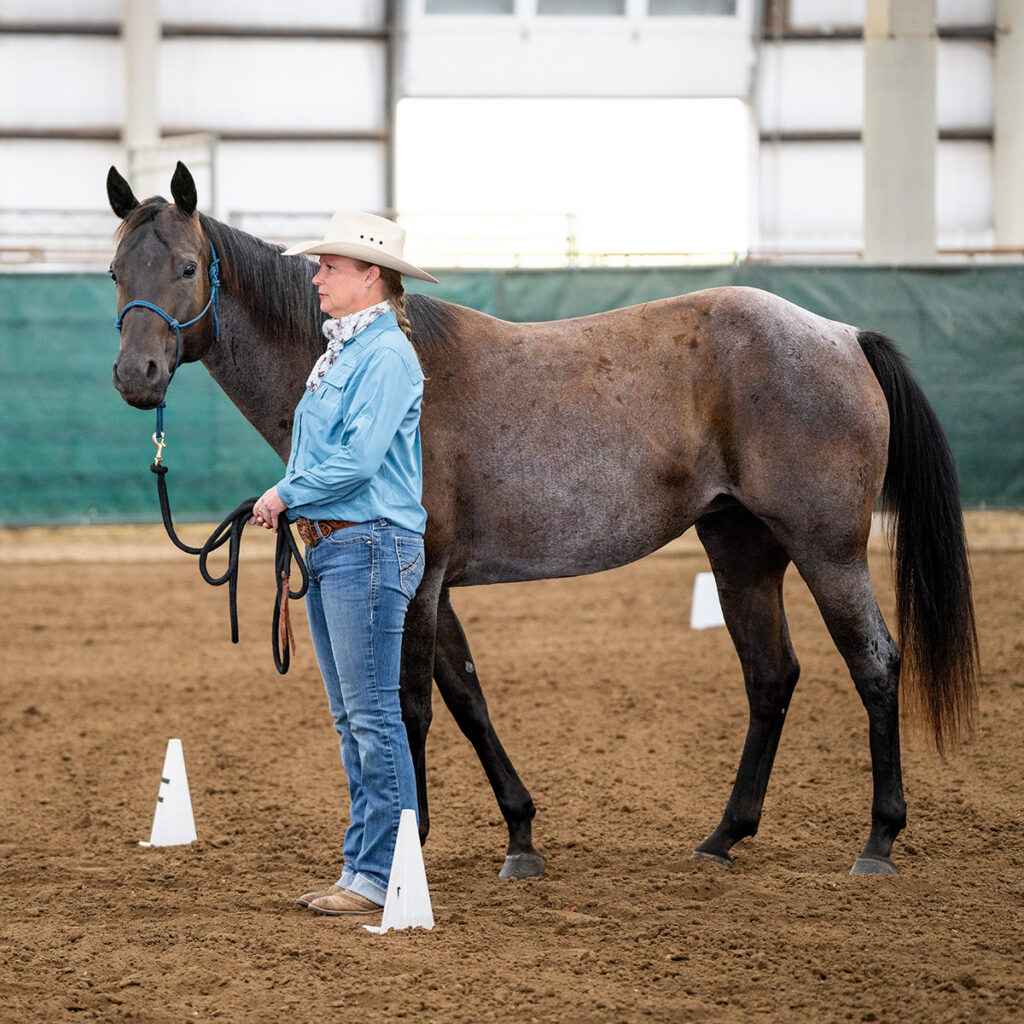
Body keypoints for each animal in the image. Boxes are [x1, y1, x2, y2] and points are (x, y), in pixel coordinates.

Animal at [106, 162, 978, 877]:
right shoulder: (436, 587)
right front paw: (520, 836)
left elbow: (412, 705)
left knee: (875, 665)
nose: (136, 376)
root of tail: (842, 336)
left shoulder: (417, 582)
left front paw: (407, 848)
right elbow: (468, 698)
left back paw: (878, 840)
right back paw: (724, 836)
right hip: (741, 548)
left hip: (829, 553)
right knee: (771, 677)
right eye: (116, 271)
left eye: (187, 266)